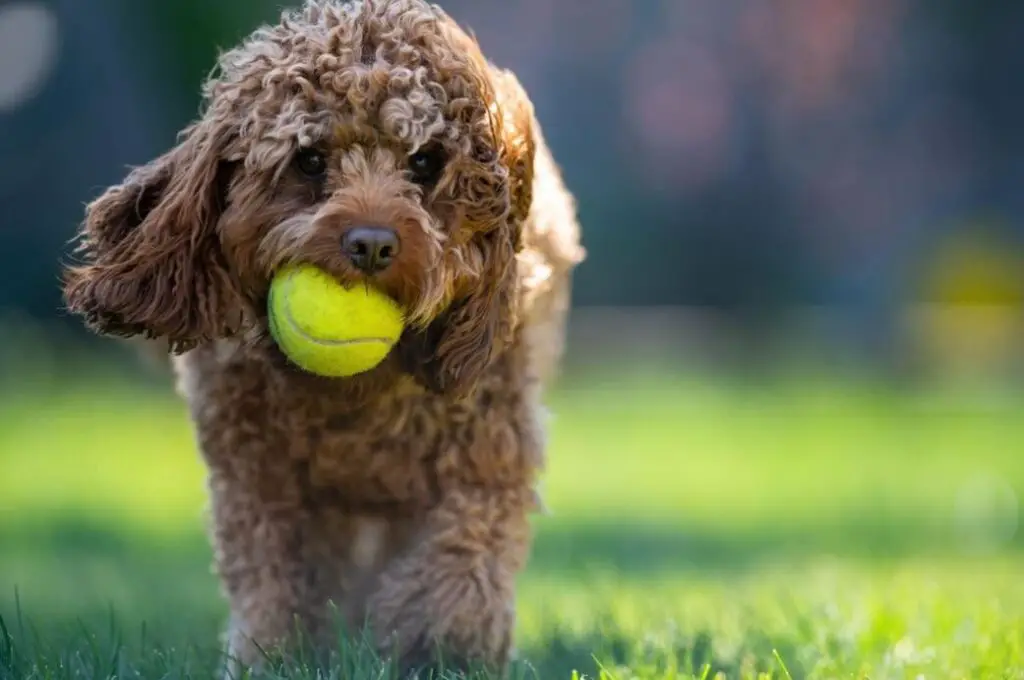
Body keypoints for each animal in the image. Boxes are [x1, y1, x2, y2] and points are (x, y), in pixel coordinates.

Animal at [58, 0, 585, 675]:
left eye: (425, 161)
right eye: (309, 159)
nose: (372, 244)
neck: (358, 397)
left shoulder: (484, 453)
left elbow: (462, 564)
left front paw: (438, 650)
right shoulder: (260, 479)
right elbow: (276, 583)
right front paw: (275, 657)